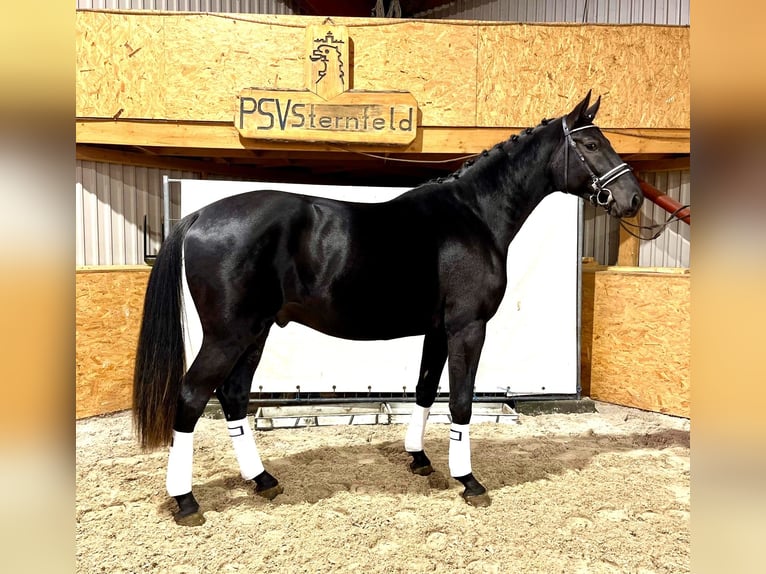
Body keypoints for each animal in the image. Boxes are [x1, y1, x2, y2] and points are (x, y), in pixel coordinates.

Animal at [135, 93, 644, 528]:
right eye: (592, 144)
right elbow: (460, 401)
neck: (473, 216)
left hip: (255, 331)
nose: (634, 198)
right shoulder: (467, 327)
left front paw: (419, 458)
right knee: (192, 396)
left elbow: (424, 391)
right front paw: (469, 481)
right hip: (228, 334)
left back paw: (262, 480)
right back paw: (186, 500)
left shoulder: (437, 330)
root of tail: (199, 217)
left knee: (234, 395)